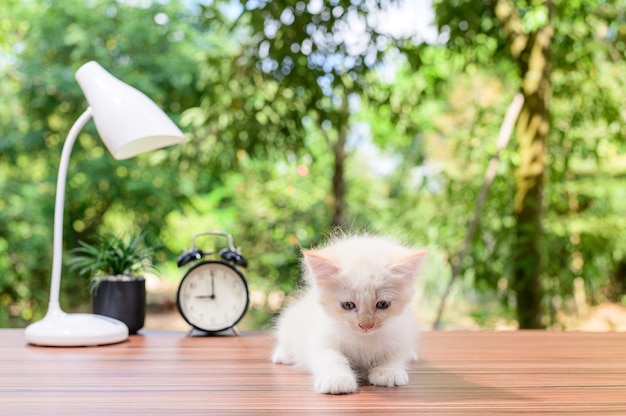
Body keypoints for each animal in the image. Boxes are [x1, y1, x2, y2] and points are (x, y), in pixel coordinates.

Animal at [270, 234, 426, 394]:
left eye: (382, 304)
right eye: (348, 305)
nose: (366, 325)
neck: (364, 339)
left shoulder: (401, 333)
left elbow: (395, 355)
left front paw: (389, 372)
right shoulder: (322, 339)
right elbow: (332, 358)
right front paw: (337, 380)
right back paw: (283, 355)